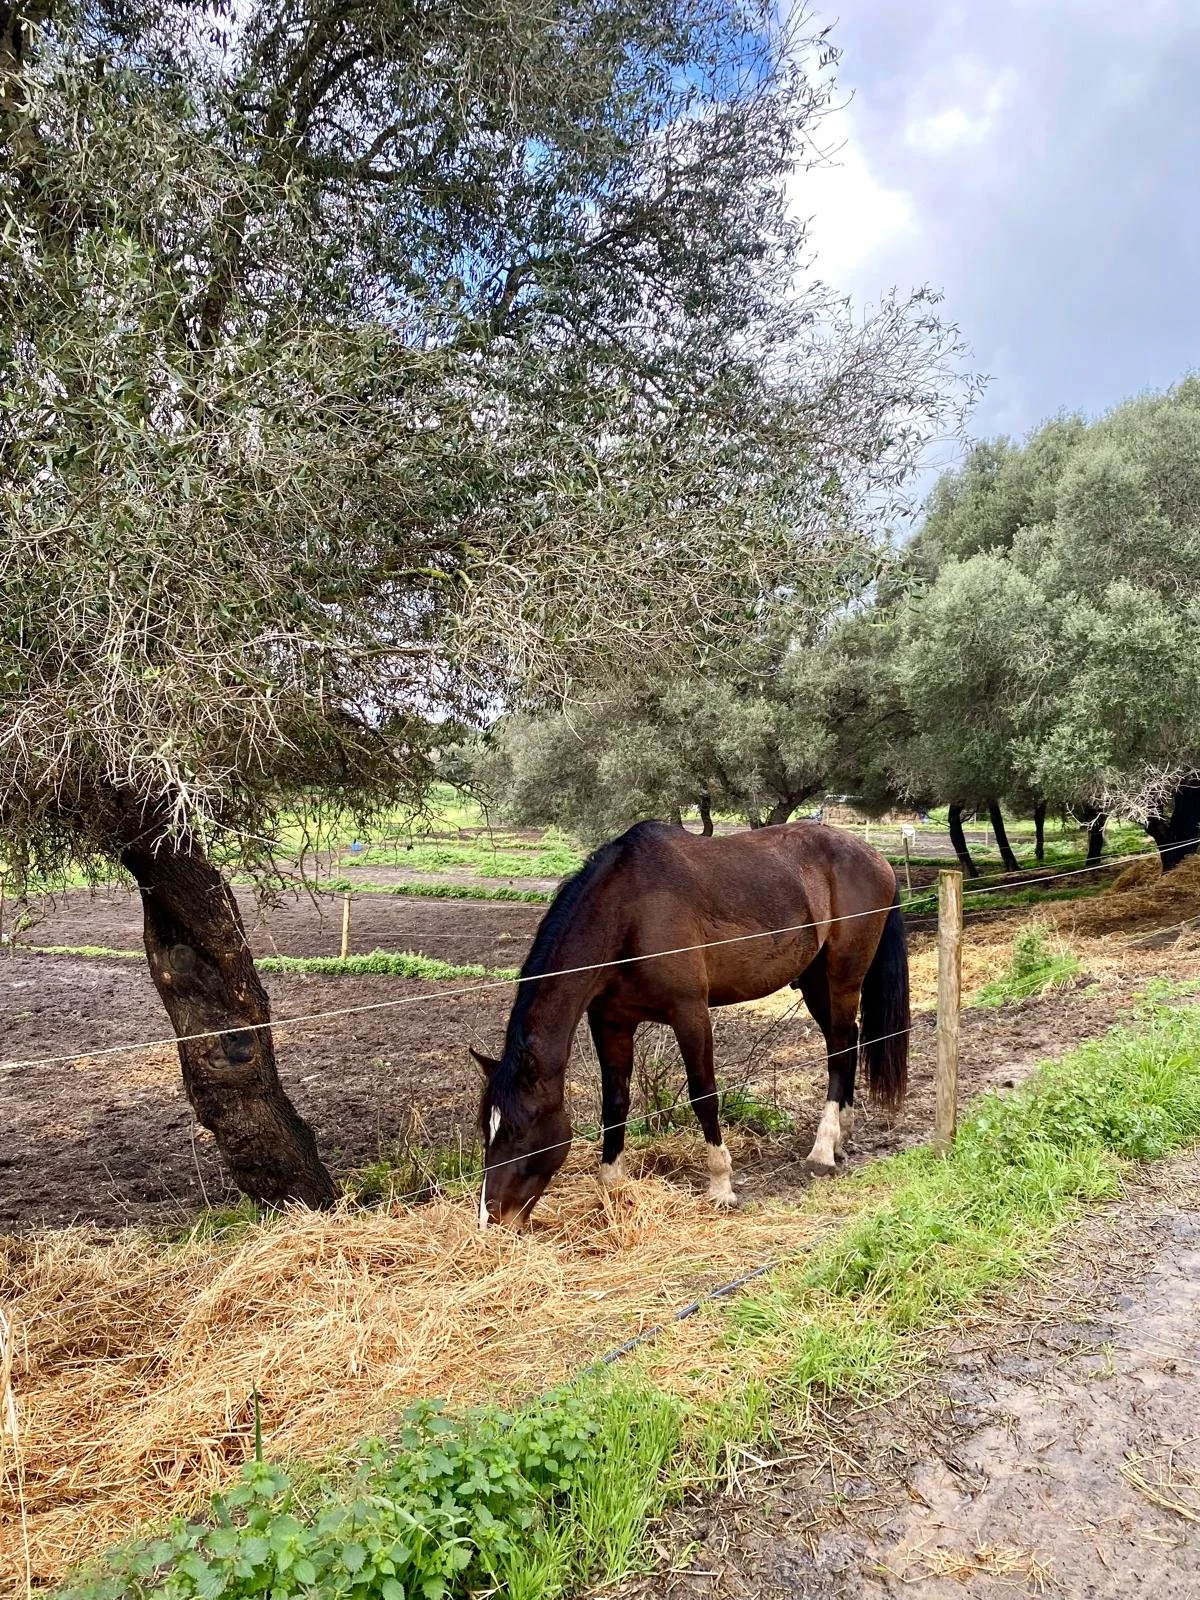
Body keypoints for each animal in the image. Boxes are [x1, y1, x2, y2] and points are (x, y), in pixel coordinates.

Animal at [473, 819, 909, 1228]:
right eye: (486, 1130)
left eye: (519, 1131)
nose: (491, 1219)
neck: (630, 913)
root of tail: (877, 858)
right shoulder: (611, 1022)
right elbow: (615, 1102)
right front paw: (611, 1185)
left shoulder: (690, 1015)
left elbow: (703, 1096)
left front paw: (721, 1186)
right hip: (815, 982)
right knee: (845, 1042)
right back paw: (841, 1136)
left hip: (842, 979)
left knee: (840, 1050)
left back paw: (822, 1149)